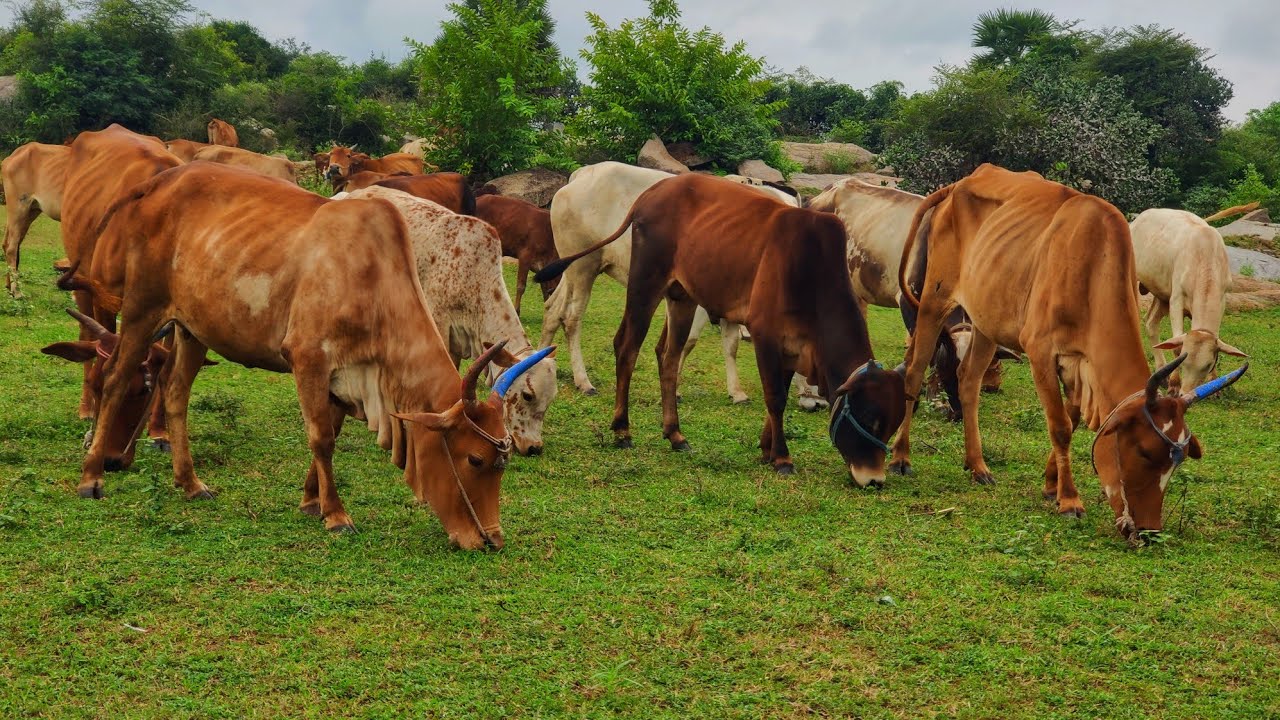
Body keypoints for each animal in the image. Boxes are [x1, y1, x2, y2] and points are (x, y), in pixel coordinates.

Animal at [3, 142, 70, 296]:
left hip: (30, 211)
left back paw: (9, 285)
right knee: (11, 248)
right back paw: (16, 292)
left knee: (7, 244)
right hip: (19, 207)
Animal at [539, 161, 824, 409]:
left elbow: (730, 343)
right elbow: (689, 341)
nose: (818, 403)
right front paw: (673, 388)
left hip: (571, 268)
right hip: (584, 268)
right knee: (572, 318)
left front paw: (736, 392)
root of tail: (583, 174)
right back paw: (583, 380)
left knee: (553, 309)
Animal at [1130, 208, 1247, 393]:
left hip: (1162, 294)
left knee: (1150, 323)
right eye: (1184, 362)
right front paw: (1174, 384)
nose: (1185, 392)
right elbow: (1176, 345)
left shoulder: (1222, 300)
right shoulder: (1176, 299)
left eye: (1208, 365)